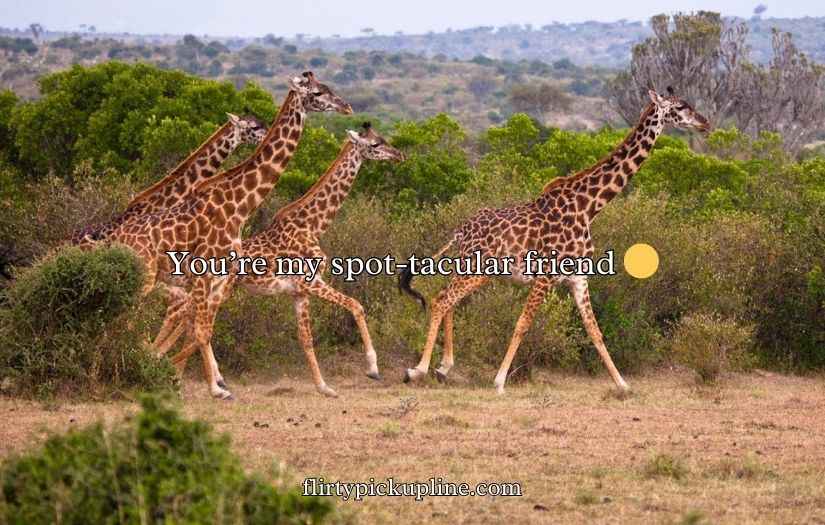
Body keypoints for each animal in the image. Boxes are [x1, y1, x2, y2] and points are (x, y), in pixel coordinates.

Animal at [98, 72, 352, 400]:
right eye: (318, 92)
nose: (346, 107)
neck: (239, 205)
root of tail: (116, 240)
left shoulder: (220, 274)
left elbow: (203, 328)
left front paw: (211, 383)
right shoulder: (203, 271)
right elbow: (201, 328)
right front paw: (214, 388)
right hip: (145, 278)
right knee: (121, 318)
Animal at [157, 123, 405, 397]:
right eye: (374, 144)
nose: (399, 155)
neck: (312, 225)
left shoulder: (300, 292)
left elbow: (306, 338)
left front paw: (324, 387)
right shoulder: (312, 283)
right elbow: (356, 305)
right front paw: (372, 368)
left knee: (187, 319)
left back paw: (177, 371)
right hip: (220, 288)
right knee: (189, 320)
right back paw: (169, 365)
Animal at [399, 88, 711, 394]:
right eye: (681, 106)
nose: (705, 123)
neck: (588, 208)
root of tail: (460, 230)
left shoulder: (578, 277)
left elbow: (594, 330)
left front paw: (623, 385)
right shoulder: (546, 275)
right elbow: (523, 324)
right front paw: (499, 381)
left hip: (471, 268)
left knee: (448, 299)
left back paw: (443, 368)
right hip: (476, 269)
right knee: (441, 299)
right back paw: (418, 370)